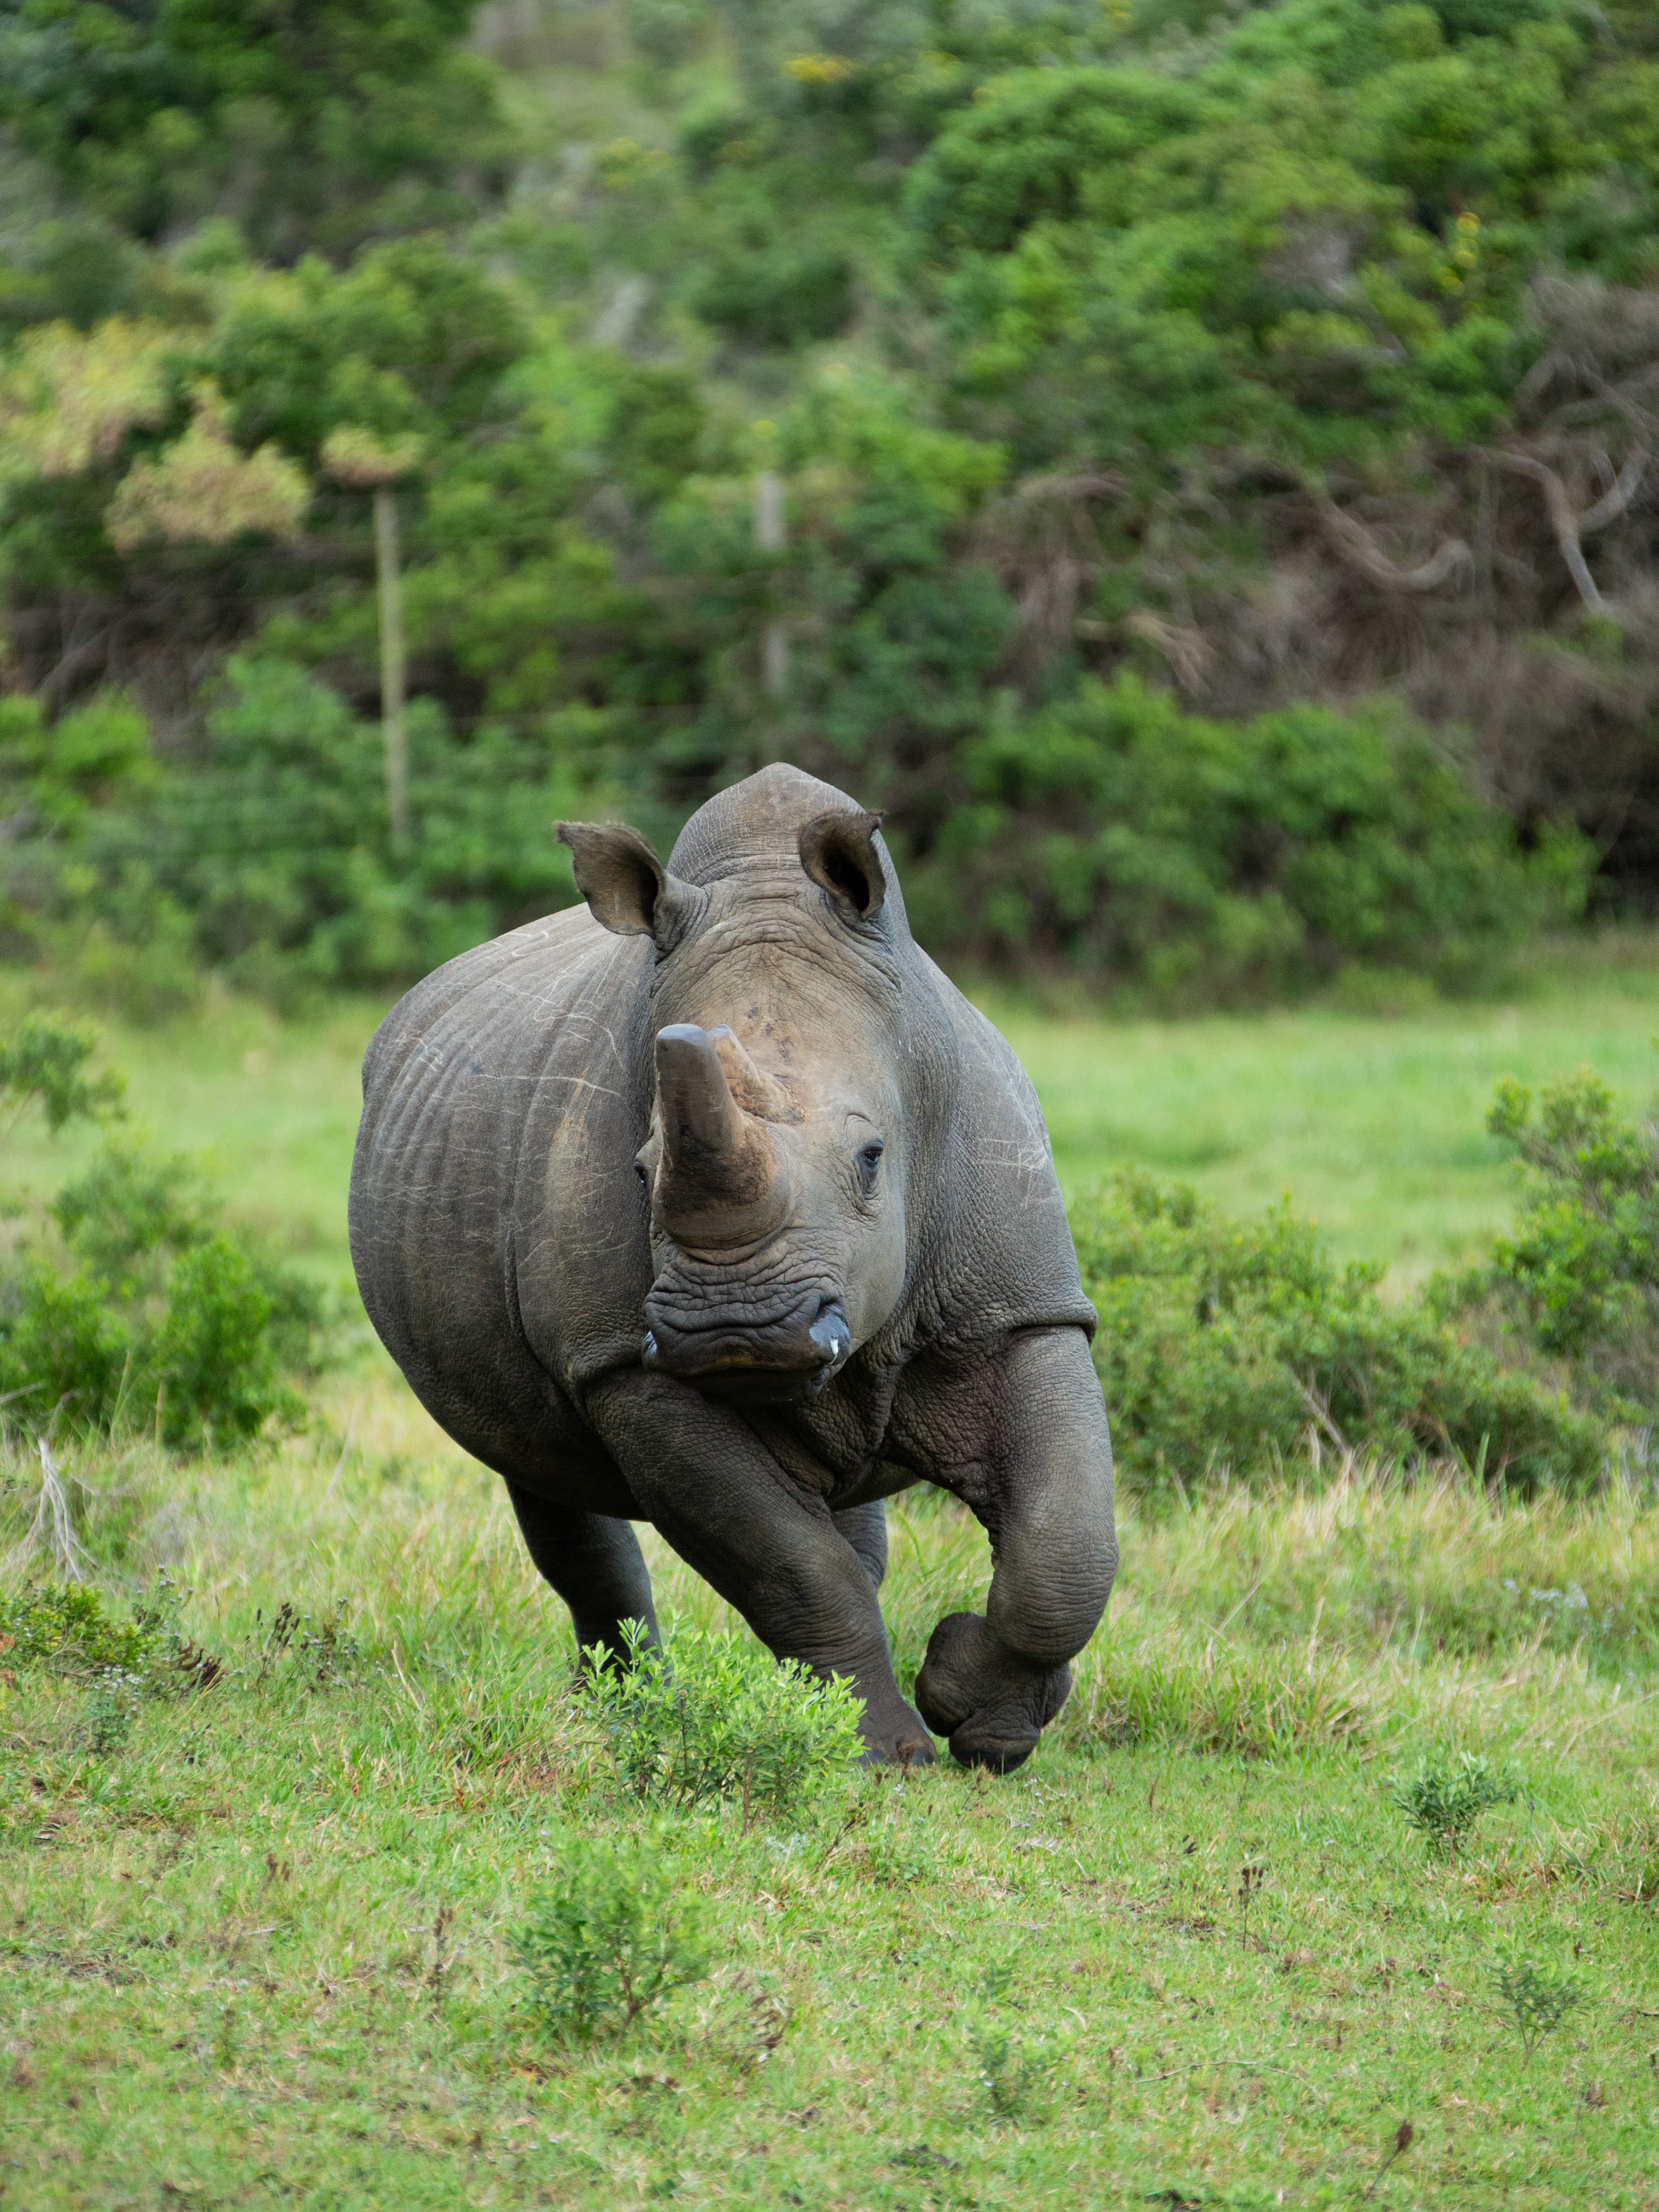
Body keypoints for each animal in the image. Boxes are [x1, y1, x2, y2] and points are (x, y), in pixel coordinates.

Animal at [349, 765, 1116, 1770]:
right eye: (643, 1172)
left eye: (873, 1158)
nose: (737, 1330)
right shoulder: (625, 1364)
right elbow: (792, 1567)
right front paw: (885, 1756)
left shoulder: (1019, 1307)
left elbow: (1068, 1541)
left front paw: (981, 1723)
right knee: (546, 1480)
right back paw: (626, 1714)